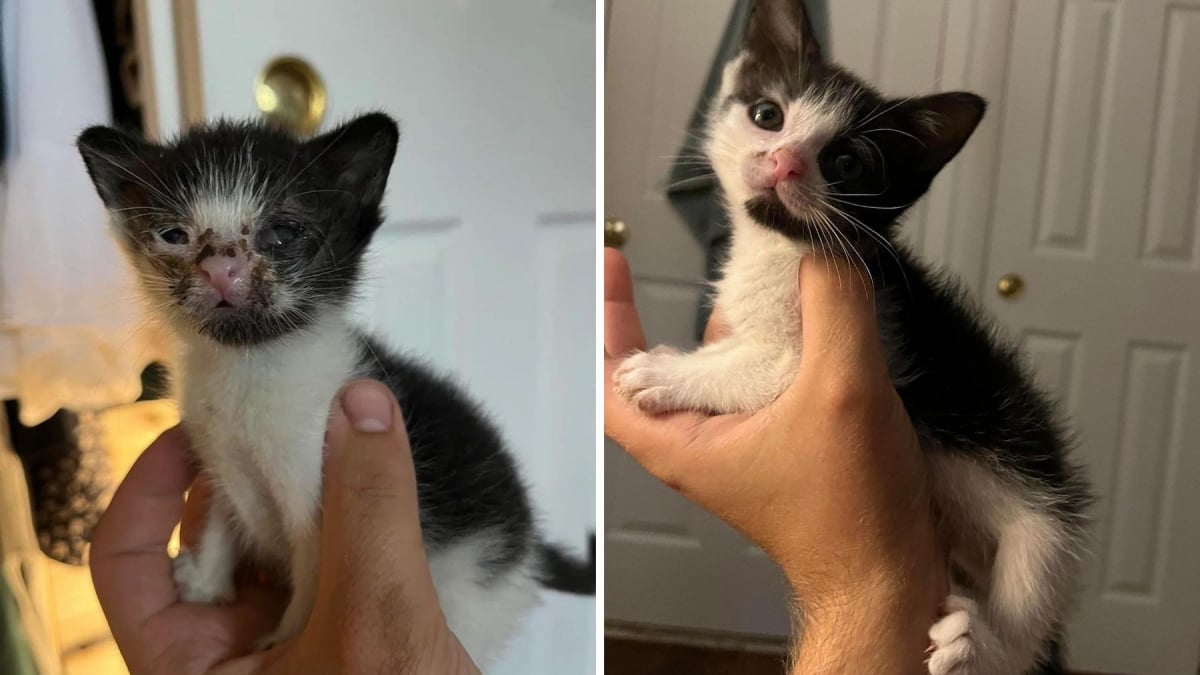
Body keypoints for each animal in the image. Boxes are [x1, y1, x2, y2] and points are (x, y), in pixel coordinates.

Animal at [77, 112, 592, 658]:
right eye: (173, 234)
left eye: (283, 231)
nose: (220, 268)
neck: (248, 367)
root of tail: (529, 544)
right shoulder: (214, 450)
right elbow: (219, 509)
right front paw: (205, 582)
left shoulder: (315, 485)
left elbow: (312, 573)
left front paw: (283, 645)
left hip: (476, 595)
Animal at [614, 2, 1094, 667]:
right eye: (767, 115)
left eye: (846, 164)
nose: (785, 161)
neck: (779, 245)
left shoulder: (848, 344)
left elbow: (758, 367)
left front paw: (666, 370)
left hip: (1043, 521)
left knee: (1029, 616)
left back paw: (976, 646)